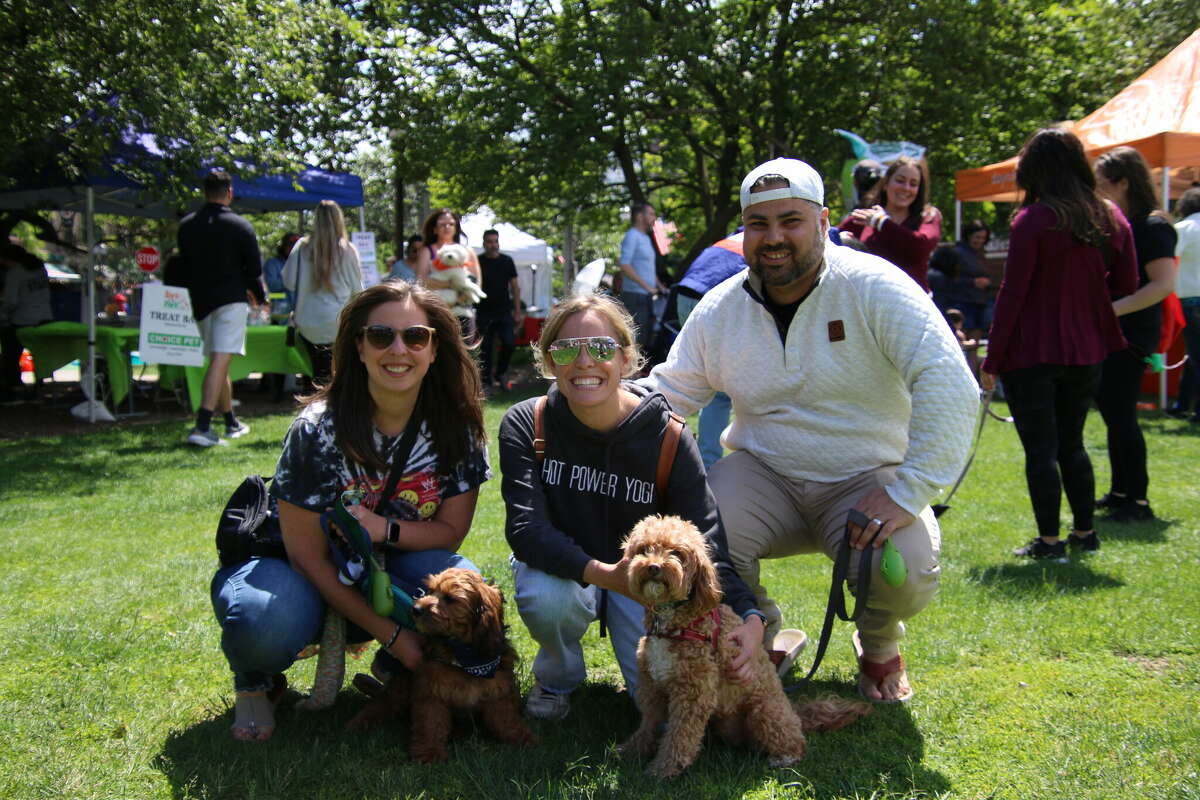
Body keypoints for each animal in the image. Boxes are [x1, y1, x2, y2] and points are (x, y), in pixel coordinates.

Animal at [348, 566, 535, 762]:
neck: (464, 657)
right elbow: (431, 723)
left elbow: (506, 718)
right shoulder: (431, 691)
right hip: (401, 688)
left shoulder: (498, 690)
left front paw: (522, 737)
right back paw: (359, 723)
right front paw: (429, 752)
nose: (415, 609)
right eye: (430, 590)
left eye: (450, 598)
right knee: (383, 703)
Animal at [619, 515, 873, 777]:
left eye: (677, 553)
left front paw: (663, 768)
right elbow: (648, 723)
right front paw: (633, 750)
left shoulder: (693, 692)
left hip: (764, 712)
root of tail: (793, 711)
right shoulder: (652, 685)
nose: (653, 567)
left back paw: (785, 757)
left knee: (795, 741)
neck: (675, 620)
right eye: (644, 549)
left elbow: (679, 736)